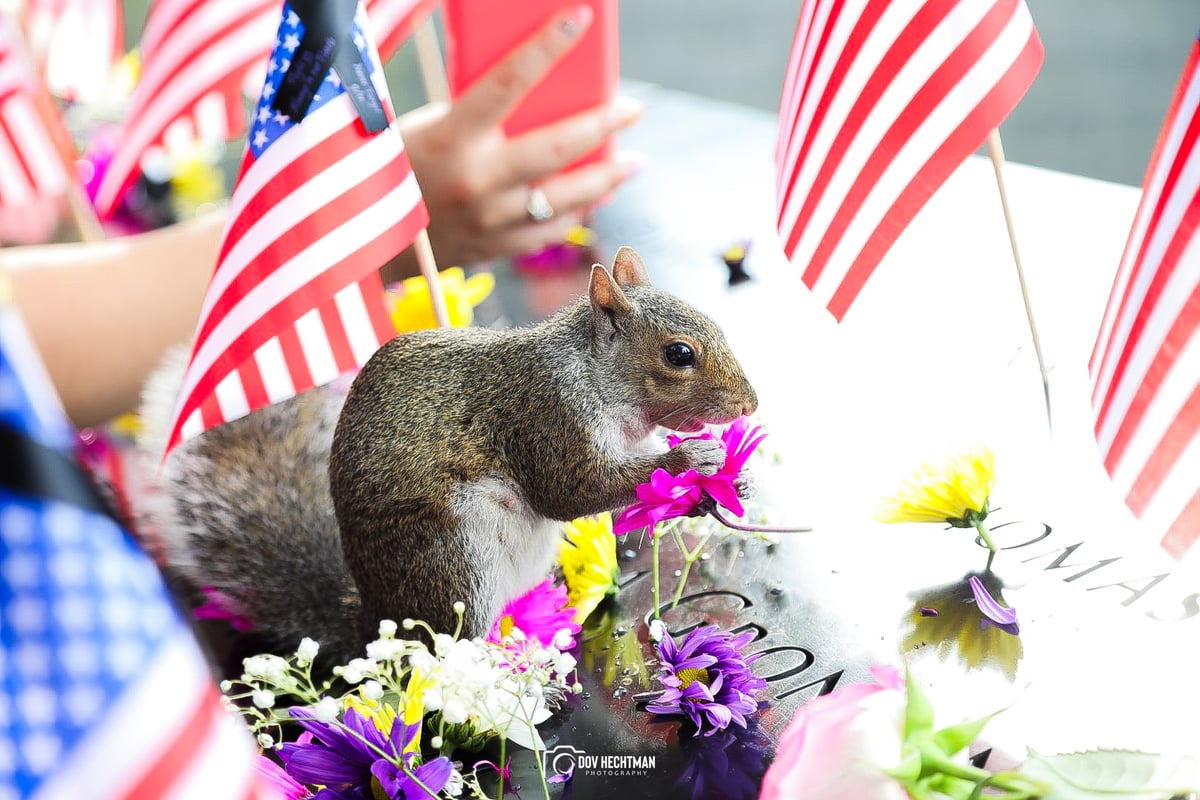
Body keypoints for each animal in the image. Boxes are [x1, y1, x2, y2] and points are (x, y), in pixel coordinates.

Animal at [138, 247, 758, 666]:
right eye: (679, 354)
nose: (750, 403)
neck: (595, 375)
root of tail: (375, 620)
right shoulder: (546, 418)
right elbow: (574, 489)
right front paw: (690, 462)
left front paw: (727, 484)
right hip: (453, 562)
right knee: (444, 649)